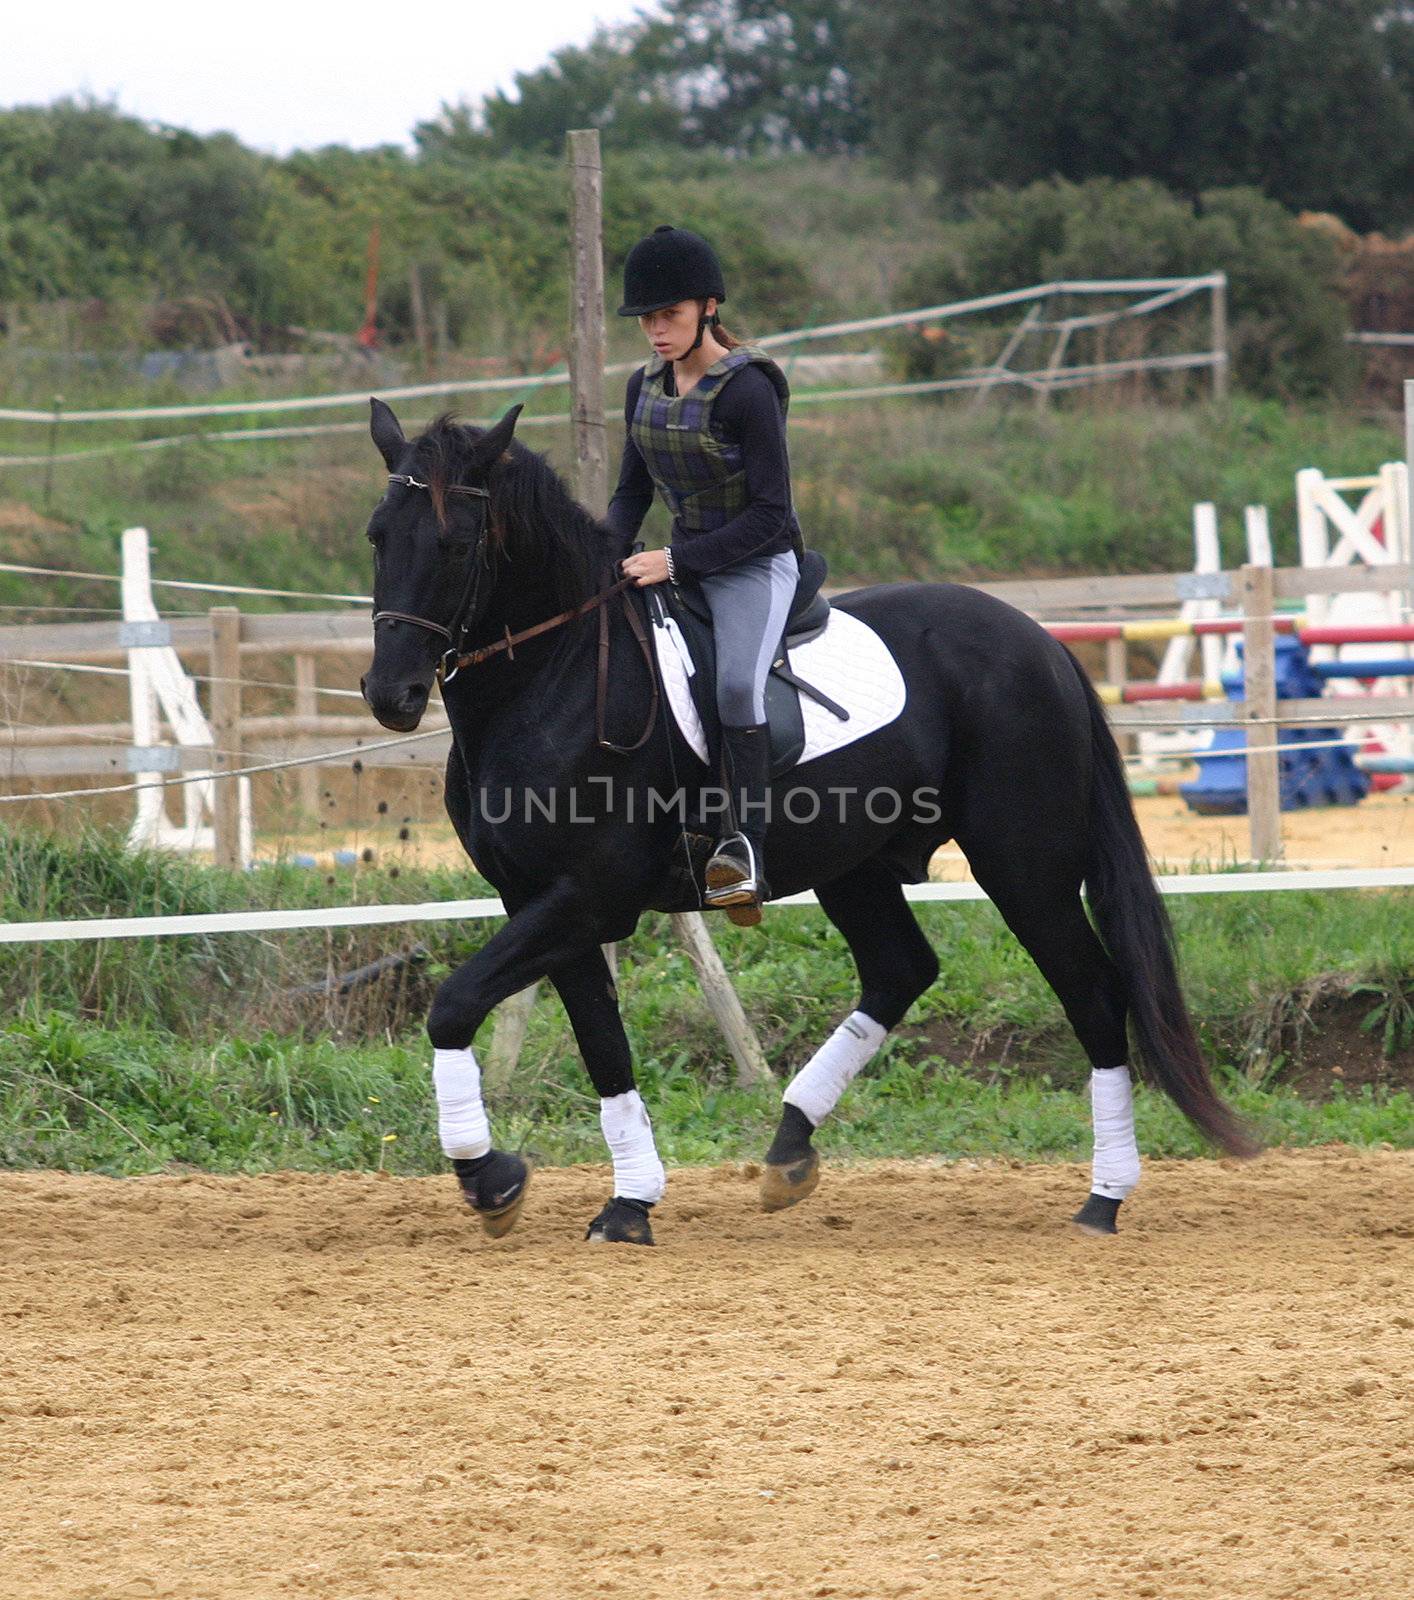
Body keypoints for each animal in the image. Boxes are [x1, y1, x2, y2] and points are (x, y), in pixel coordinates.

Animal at [358, 403, 1254, 1248]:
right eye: (378, 536)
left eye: (457, 543)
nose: (389, 695)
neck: (559, 674)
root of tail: (1040, 642)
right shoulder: (541, 902)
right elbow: (602, 1045)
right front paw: (628, 1202)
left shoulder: (585, 898)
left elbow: (453, 1004)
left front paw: (491, 1178)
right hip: (856, 866)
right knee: (901, 970)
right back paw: (789, 1147)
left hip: (1023, 868)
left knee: (1094, 996)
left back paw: (1104, 1198)